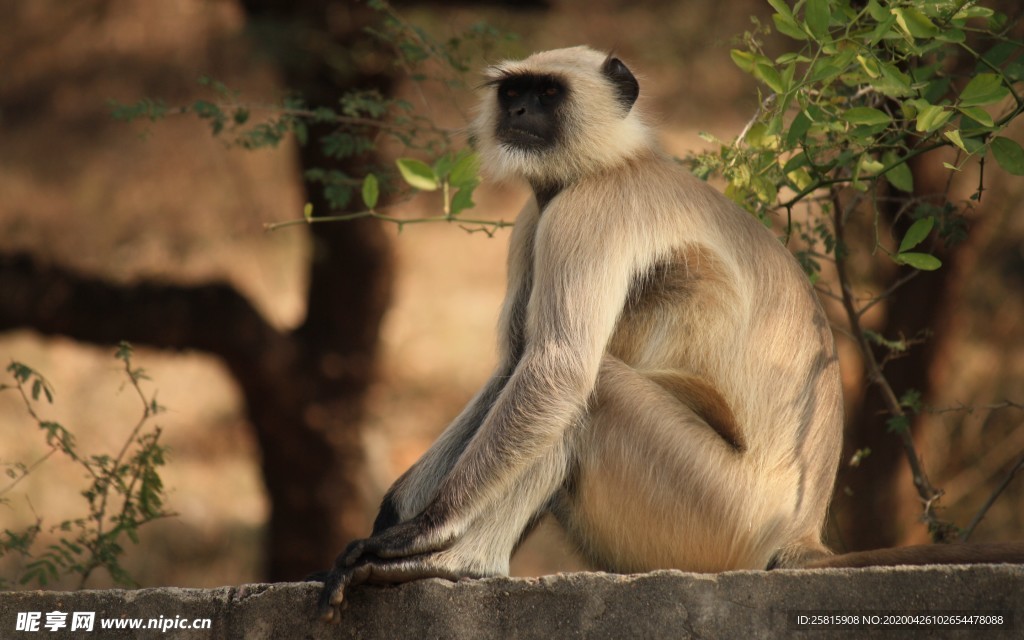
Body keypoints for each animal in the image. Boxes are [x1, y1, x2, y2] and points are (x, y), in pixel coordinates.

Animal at [317, 45, 1015, 618]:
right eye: (513, 90)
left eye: (547, 93)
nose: (515, 107)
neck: (614, 161)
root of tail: (802, 534)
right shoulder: (537, 216)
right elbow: (517, 360)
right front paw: (393, 511)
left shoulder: (589, 209)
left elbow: (556, 368)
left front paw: (419, 533)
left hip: (715, 513)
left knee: (593, 389)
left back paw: (459, 564)